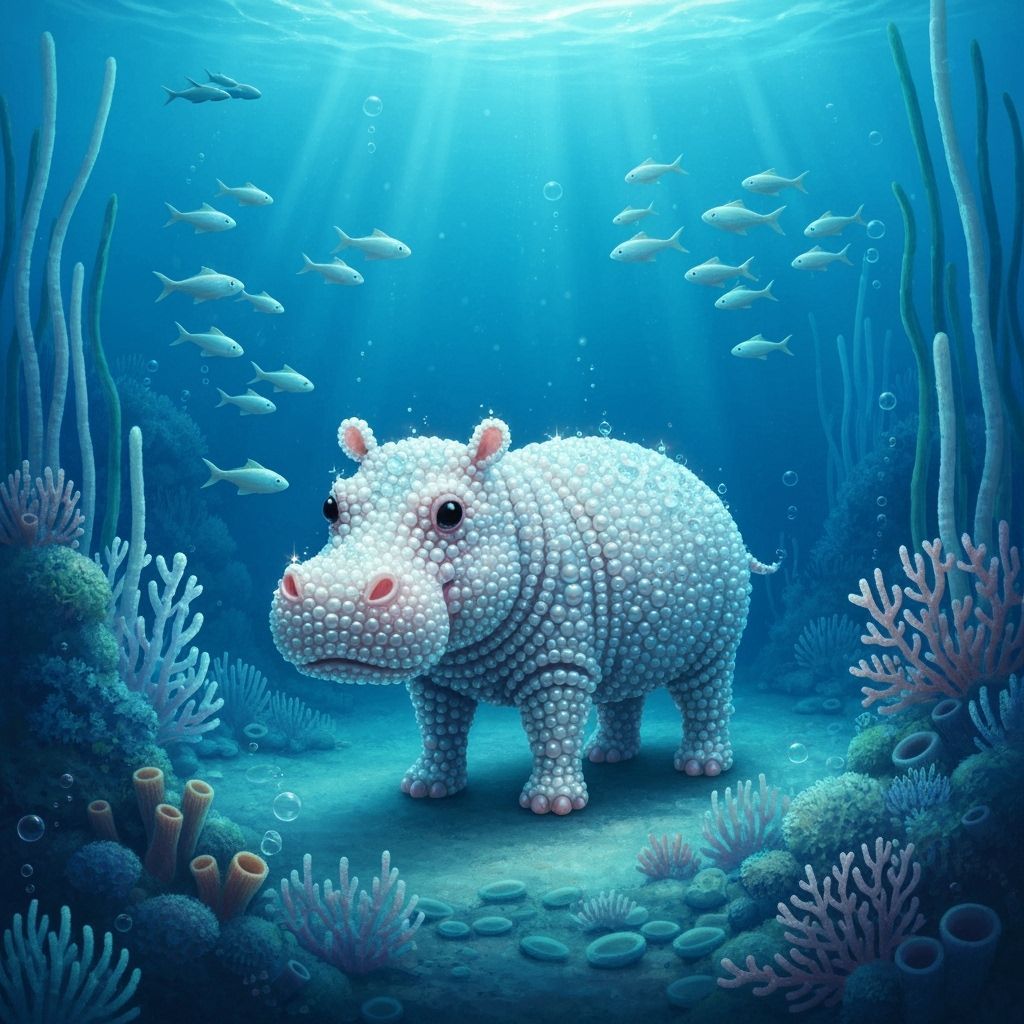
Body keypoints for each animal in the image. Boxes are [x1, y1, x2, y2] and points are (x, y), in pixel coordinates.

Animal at [271, 417, 777, 816]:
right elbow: (438, 726)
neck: (508, 510)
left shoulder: (558, 656)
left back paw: (702, 768)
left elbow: (552, 725)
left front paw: (551, 806)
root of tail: (712, 496)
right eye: (330, 505)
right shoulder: (438, 673)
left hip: (722, 603)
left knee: (705, 682)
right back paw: (608, 757)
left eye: (450, 513)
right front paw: (426, 788)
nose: (333, 600)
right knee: (621, 679)